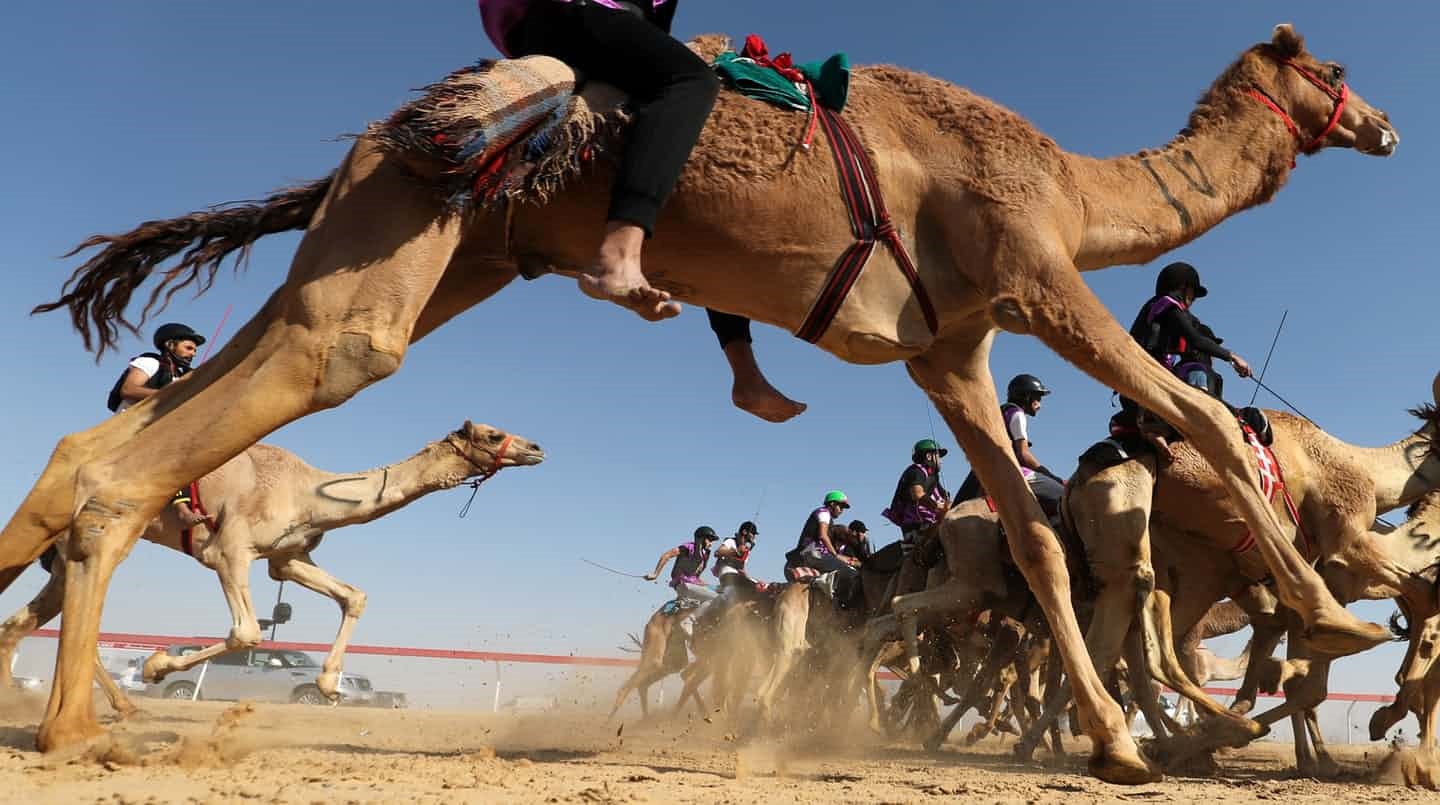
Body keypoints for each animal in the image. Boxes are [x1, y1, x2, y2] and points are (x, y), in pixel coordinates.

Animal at [0, 423, 541, 711]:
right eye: (493, 433)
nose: (536, 447)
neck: (308, 491)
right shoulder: (228, 550)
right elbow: (247, 633)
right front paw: (156, 665)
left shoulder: (287, 557)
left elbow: (353, 595)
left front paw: (328, 686)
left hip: (66, 554)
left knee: (32, 620)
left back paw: (119, 705)